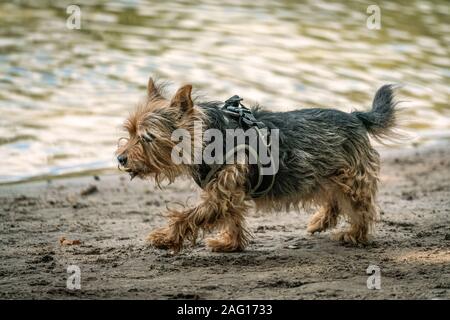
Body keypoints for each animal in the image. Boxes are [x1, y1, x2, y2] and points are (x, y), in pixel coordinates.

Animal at [116, 78, 398, 252]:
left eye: (147, 137)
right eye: (129, 132)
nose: (120, 158)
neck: (208, 138)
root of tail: (356, 117)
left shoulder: (221, 194)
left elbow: (188, 216)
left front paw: (164, 238)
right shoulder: (229, 191)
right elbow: (233, 217)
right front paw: (230, 243)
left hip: (352, 178)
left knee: (362, 209)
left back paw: (355, 235)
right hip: (327, 175)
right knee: (333, 200)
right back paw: (320, 222)